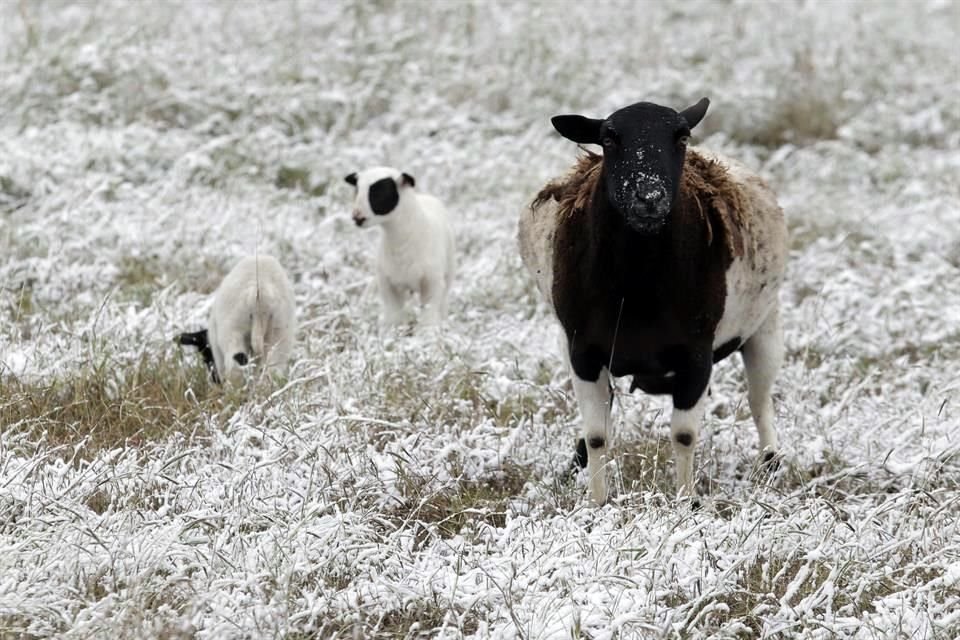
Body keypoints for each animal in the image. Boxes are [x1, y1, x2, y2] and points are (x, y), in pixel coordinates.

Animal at [176, 255, 296, 384]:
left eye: (205, 356)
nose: (214, 380)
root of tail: (261, 297)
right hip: (280, 332)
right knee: (272, 370)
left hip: (234, 330)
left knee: (237, 365)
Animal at [346, 166, 456, 330]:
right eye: (357, 190)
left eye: (380, 191)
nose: (357, 217)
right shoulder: (387, 282)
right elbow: (395, 314)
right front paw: (394, 330)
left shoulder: (432, 281)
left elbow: (428, 312)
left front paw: (428, 332)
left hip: (448, 273)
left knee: (443, 302)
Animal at [516, 97, 788, 504]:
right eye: (608, 138)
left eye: (682, 136)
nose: (649, 197)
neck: (636, 288)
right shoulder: (583, 351)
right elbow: (597, 434)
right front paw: (597, 502)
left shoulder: (696, 355)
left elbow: (684, 435)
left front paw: (686, 502)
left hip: (765, 328)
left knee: (760, 400)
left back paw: (771, 462)